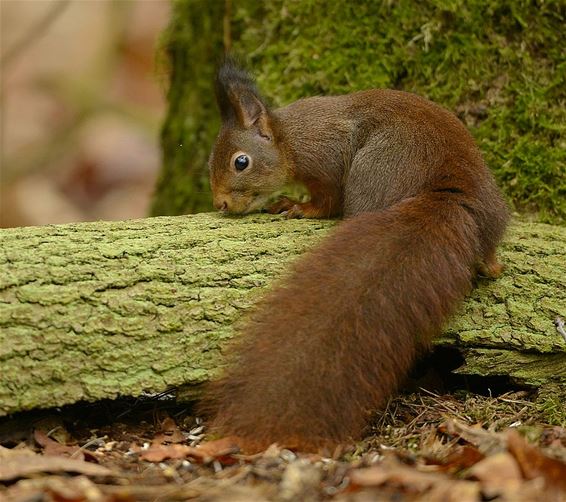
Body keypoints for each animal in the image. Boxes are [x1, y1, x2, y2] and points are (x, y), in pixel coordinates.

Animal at [203, 57, 510, 452]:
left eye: (241, 162)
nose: (221, 204)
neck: (290, 139)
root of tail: (449, 194)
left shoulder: (327, 156)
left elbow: (327, 199)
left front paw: (299, 207)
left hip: (371, 170)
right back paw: (493, 262)